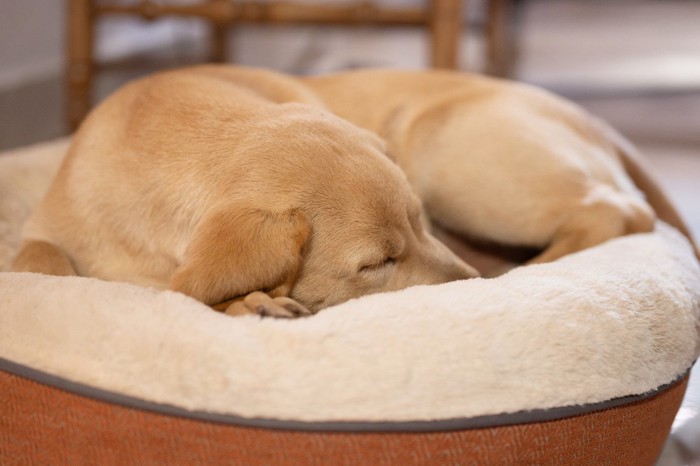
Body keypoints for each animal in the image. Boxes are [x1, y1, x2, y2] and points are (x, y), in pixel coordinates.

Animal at [13, 66, 478, 316]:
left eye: (421, 223)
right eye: (377, 263)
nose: (474, 283)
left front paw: (248, 303)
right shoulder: (42, 230)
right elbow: (42, 260)